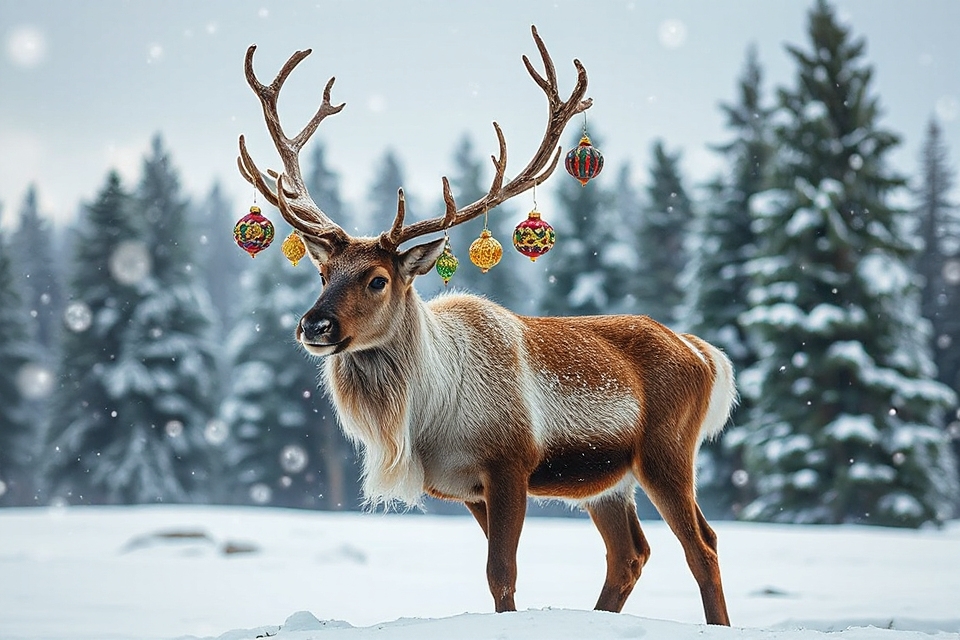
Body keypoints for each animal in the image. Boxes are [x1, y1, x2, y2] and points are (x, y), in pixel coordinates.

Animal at [236, 25, 736, 626]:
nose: (314, 324)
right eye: (322, 271)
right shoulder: (468, 488)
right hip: (609, 481)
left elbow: (503, 575)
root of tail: (706, 354)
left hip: (666, 450)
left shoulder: (510, 464)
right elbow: (499, 579)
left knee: (702, 544)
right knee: (630, 554)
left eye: (378, 279)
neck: (425, 420)